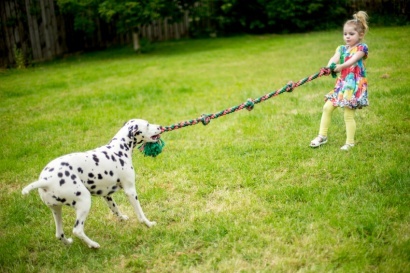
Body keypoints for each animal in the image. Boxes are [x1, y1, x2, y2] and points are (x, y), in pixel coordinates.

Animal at [21, 118, 161, 248]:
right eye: (147, 124)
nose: (160, 126)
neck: (118, 150)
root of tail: (46, 180)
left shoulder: (107, 195)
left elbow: (115, 209)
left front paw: (122, 218)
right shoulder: (130, 191)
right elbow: (140, 214)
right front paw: (149, 224)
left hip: (56, 210)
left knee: (59, 234)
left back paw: (69, 243)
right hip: (84, 201)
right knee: (77, 230)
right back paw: (93, 245)